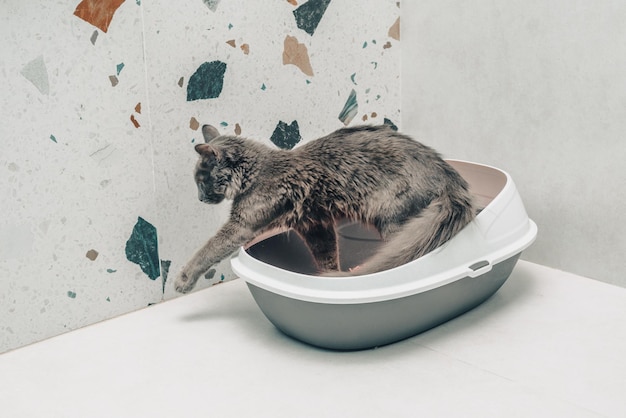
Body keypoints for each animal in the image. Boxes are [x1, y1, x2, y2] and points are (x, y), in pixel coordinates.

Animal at [172, 124, 472, 294]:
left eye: (201, 181)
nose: (200, 198)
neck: (256, 173)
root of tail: (448, 174)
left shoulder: (242, 224)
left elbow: (208, 249)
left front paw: (183, 279)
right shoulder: (315, 226)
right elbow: (326, 256)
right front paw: (330, 276)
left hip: (393, 219)